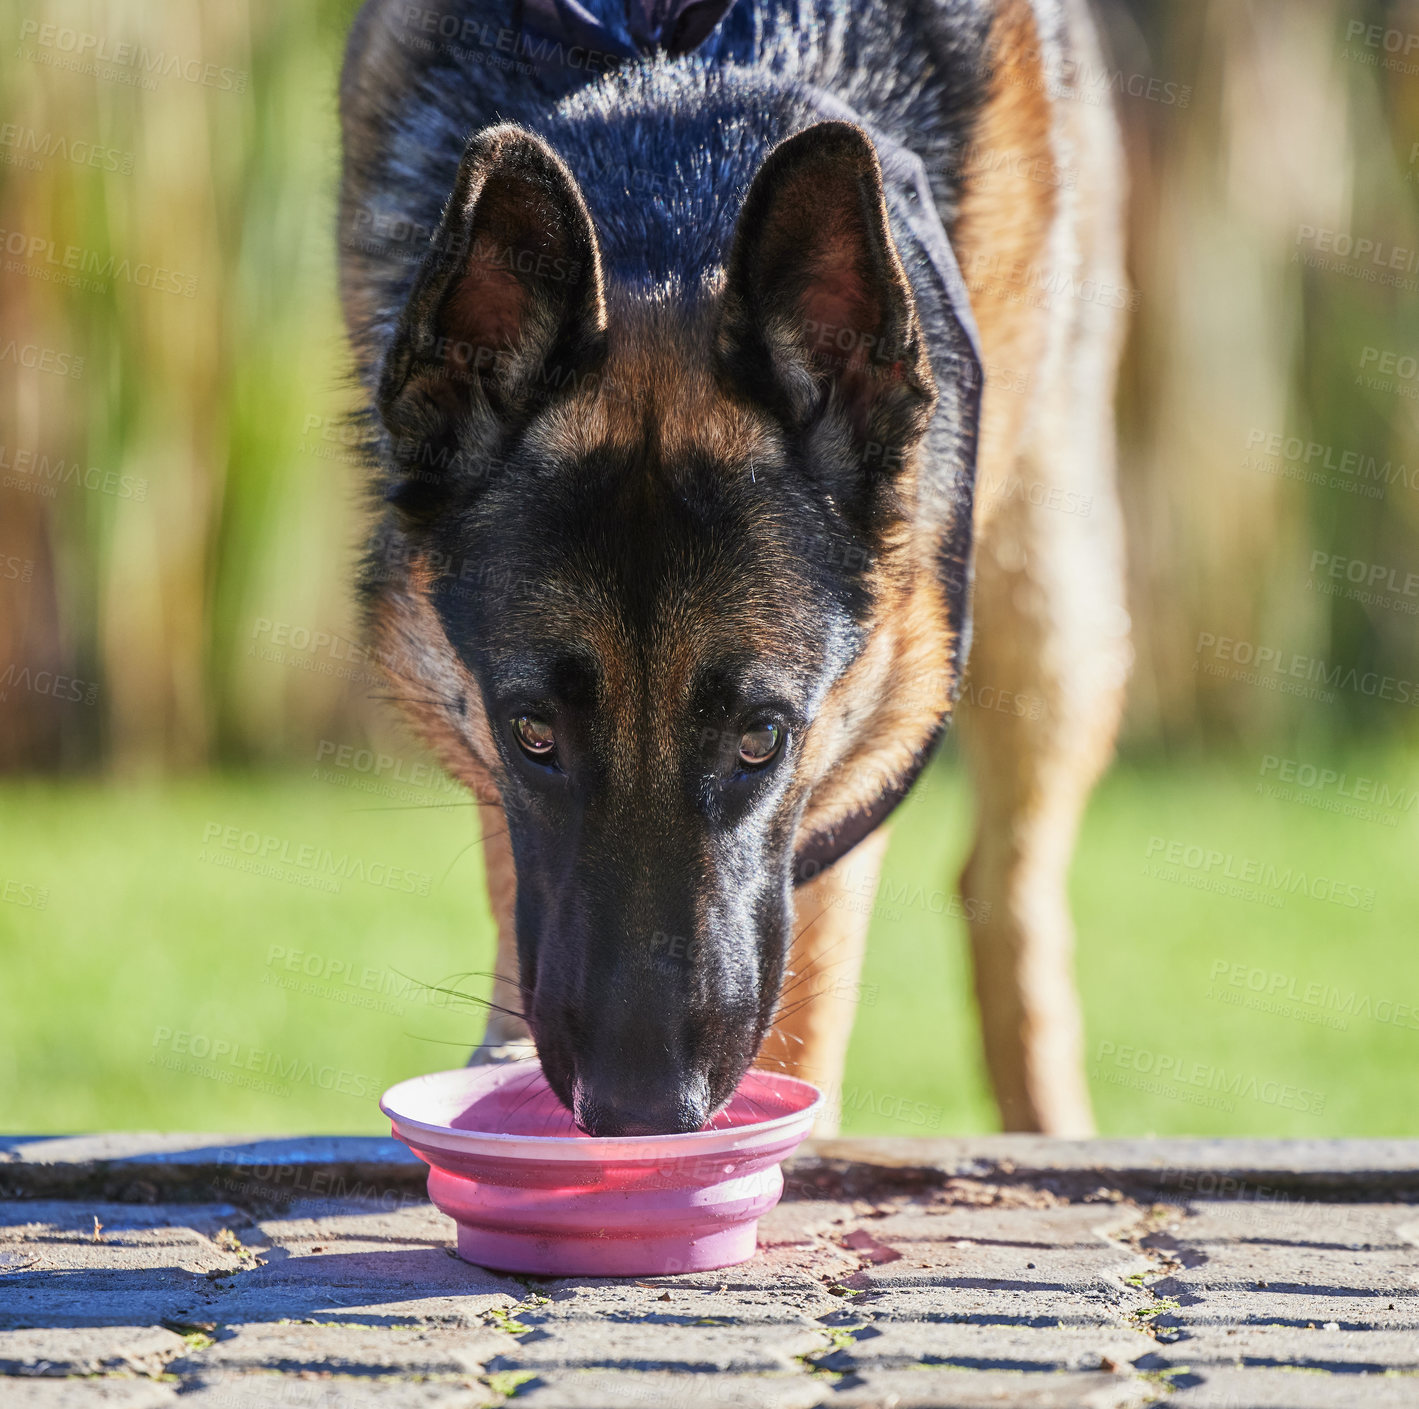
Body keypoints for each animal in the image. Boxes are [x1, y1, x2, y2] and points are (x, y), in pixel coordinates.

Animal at [337, 0, 1123, 1140]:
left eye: (761, 739)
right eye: (534, 734)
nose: (640, 1111)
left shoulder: (860, 741)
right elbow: (517, 883)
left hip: (1053, 614)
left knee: (1007, 883)